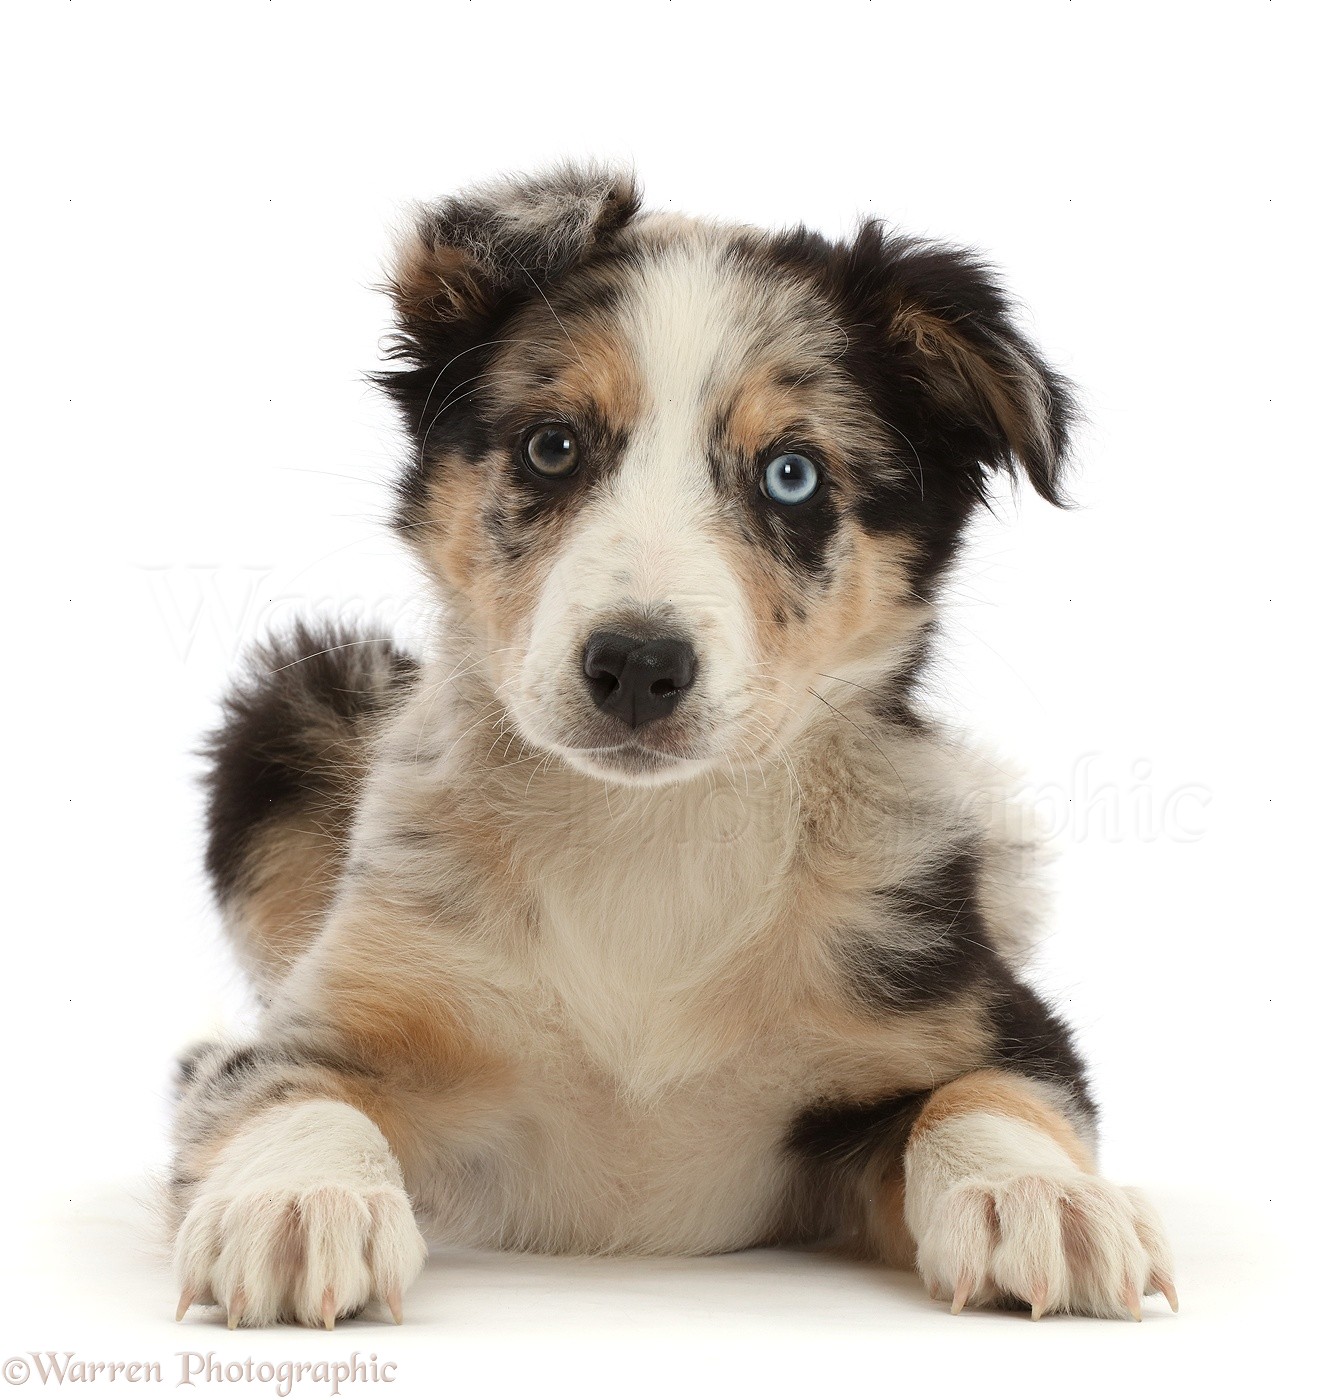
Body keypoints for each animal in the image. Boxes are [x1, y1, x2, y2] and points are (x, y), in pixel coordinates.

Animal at [167, 163, 1175, 1321]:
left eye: (792, 474)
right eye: (552, 445)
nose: (638, 665)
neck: (651, 835)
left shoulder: (977, 1006)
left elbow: (989, 1091)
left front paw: (1042, 1197)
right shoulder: (325, 1022)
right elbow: (286, 1091)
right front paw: (296, 1201)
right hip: (293, 705)